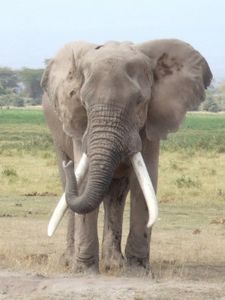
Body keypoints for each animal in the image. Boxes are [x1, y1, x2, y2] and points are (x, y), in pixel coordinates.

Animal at [41, 39, 212, 274]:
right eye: (84, 102)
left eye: (140, 101)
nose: (69, 165)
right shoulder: (79, 123)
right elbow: (83, 183)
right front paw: (84, 271)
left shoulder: (151, 122)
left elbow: (145, 181)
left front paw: (138, 271)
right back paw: (70, 260)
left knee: (116, 194)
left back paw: (114, 264)